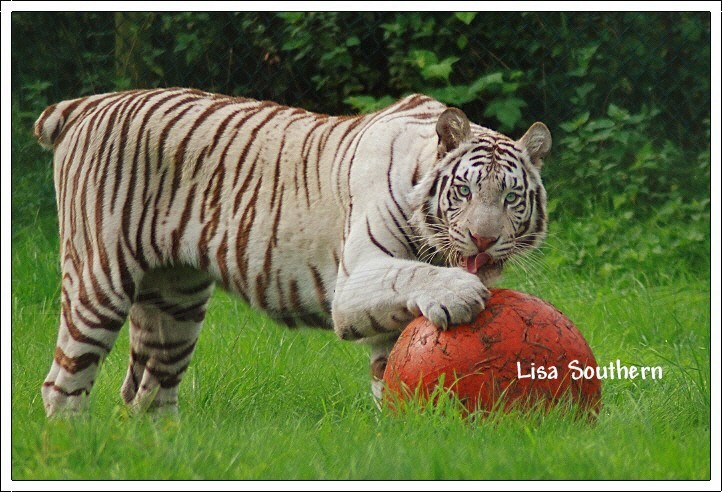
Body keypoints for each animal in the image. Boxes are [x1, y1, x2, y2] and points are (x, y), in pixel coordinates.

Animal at [33, 88, 551, 416]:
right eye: (464, 190)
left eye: (510, 196)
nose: (484, 239)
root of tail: (87, 103)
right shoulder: (352, 283)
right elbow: (409, 274)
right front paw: (459, 294)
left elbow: (389, 375)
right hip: (99, 280)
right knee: (62, 385)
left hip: (175, 302)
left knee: (147, 392)